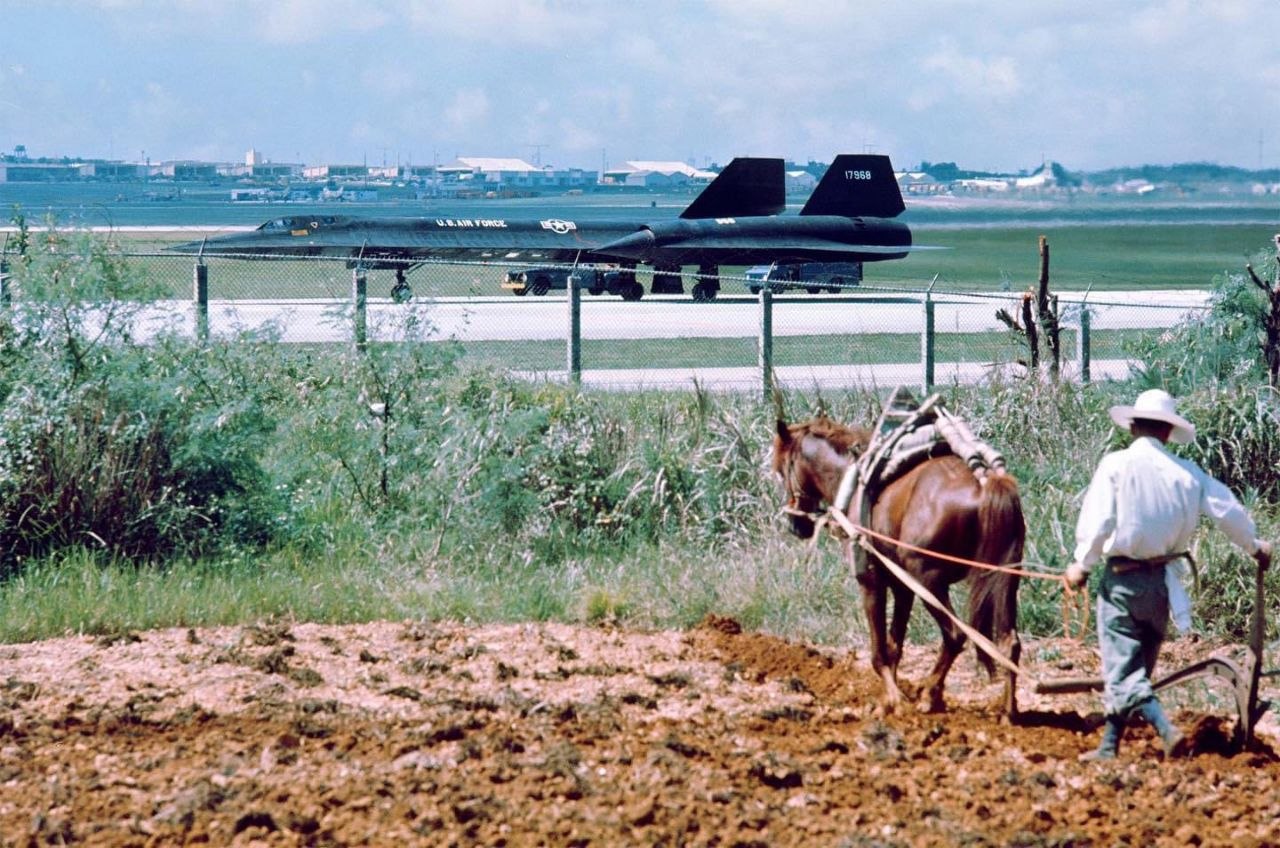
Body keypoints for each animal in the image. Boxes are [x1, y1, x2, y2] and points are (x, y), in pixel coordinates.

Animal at [772, 415, 1025, 719]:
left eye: (781, 469)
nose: (795, 524)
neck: (853, 479)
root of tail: (986, 483)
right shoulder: (902, 586)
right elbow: (895, 646)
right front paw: (889, 699)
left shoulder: (871, 580)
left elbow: (879, 650)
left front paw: (894, 701)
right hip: (1004, 580)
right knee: (1009, 642)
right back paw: (1007, 711)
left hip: (929, 581)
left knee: (954, 635)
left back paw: (930, 696)